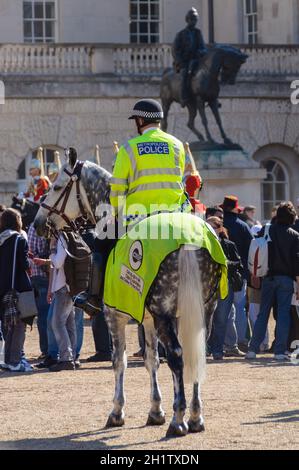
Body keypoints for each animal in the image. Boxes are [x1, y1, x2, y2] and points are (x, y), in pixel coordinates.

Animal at [34, 150, 223, 436]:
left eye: (57, 187)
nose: (37, 223)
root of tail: (187, 239)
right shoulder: (147, 319)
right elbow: (151, 360)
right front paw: (155, 411)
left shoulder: (116, 316)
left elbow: (119, 361)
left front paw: (117, 412)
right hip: (203, 311)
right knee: (196, 354)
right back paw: (195, 417)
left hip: (165, 314)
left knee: (177, 356)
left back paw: (178, 420)